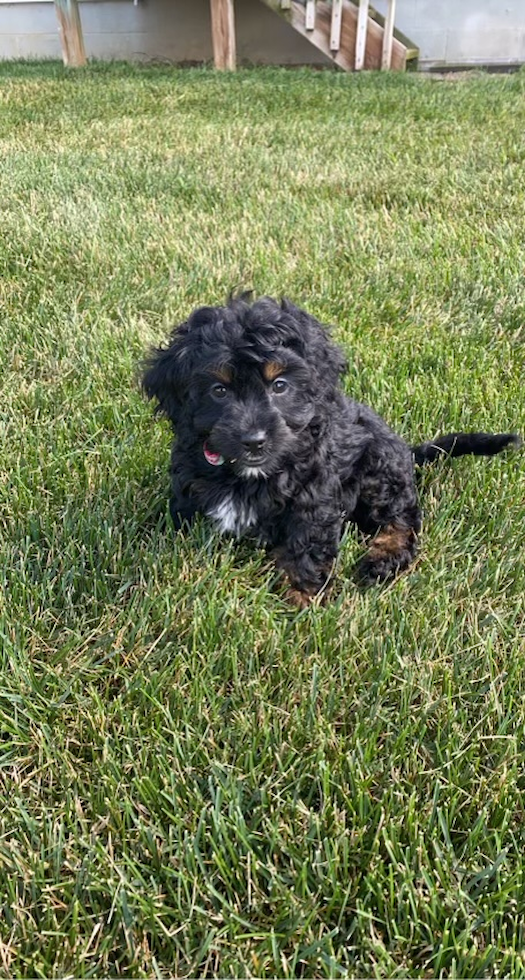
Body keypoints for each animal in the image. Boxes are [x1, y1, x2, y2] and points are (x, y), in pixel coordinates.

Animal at [141, 294, 516, 604]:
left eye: (280, 385)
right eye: (219, 390)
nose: (254, 440)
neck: (249, 473)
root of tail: (406, 450)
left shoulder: (314, 495)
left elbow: (306, 544)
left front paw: (303, 598)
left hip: (379, 467)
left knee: (403, 518)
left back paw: (382, 559)